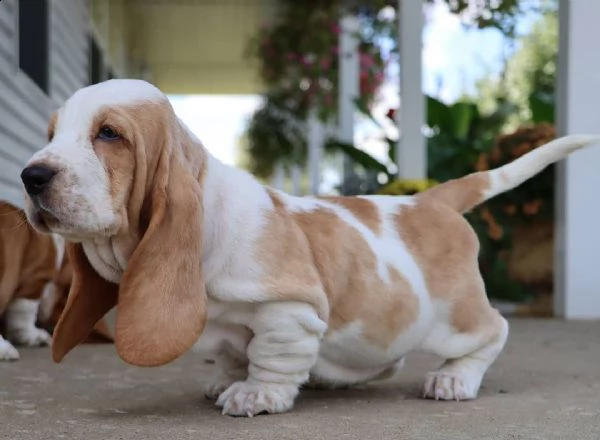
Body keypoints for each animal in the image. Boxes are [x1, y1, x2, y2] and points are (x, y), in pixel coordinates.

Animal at [18, 78, 600, 416]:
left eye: (109, 134)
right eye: (51, 133)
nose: (31, 177)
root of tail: (431, 200)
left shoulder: (288, 309)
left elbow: (269, 356)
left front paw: (256, 394)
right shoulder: (230, 327)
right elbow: (231, 351)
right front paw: (227, 380)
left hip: (454, 317)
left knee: (492, 331)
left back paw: (454, 379)